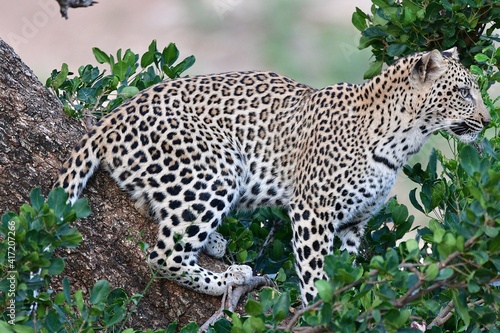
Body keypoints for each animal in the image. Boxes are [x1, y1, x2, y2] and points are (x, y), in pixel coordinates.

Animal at [54, 46, 488, 304]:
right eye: (464, 92)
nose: (487, 120)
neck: (404, 138)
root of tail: (110, 119)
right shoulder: (314, 210)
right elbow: (315, 275)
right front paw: (319, 311)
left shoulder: (354, 224)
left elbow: (344, 270)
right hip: (220, 165)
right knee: (162, 256)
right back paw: (230, 277)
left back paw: (215, 243)